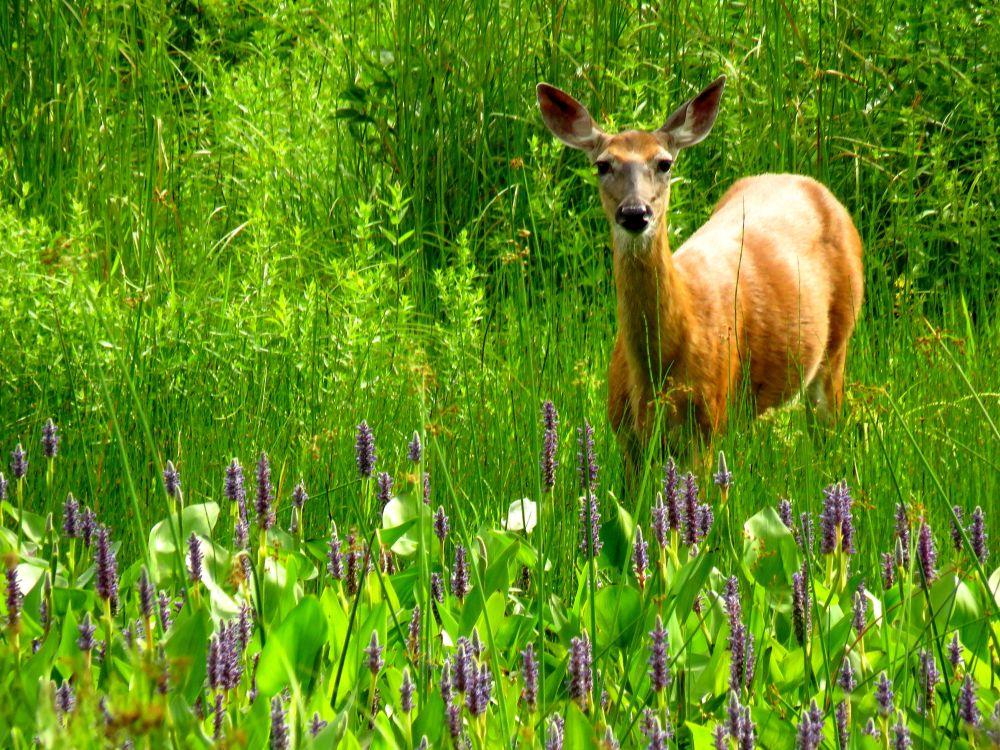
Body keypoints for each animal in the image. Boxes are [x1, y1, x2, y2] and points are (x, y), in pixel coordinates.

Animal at [536, 73, 864, 478]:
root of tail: (810, 183)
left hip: (838, 341)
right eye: (602, 165)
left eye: (664, 163)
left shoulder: (706, 425)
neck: (657, 368)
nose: (635, 212)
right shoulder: (626, 438)